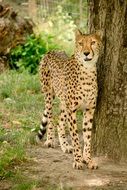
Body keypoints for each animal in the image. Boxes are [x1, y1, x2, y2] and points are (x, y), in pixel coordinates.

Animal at [37, 30, 102, 170]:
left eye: (93, 42)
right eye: (81, 43)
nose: (86, 53)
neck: (87, 70)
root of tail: (52, 50)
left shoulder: (89, 109)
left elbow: (87, 136)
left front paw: (88, 159)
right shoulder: (72, 110)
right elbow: (76, 137)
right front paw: (78, 160)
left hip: (63, 103)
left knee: (59, 122)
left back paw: (65, 146)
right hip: (49, 96)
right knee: (50, 118)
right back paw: (50, 140)